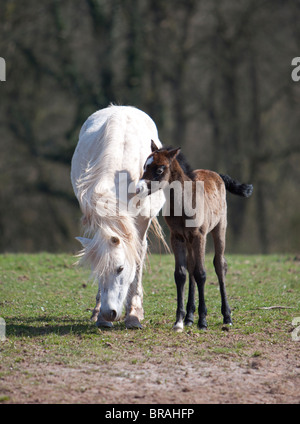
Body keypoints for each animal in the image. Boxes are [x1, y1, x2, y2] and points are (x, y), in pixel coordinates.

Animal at [70, 105, 166, 328]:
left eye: (120, 269)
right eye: (97, 271)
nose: (108, 314)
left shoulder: (142, 222)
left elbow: (138, 258)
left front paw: (134, 315)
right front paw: (98, 313)